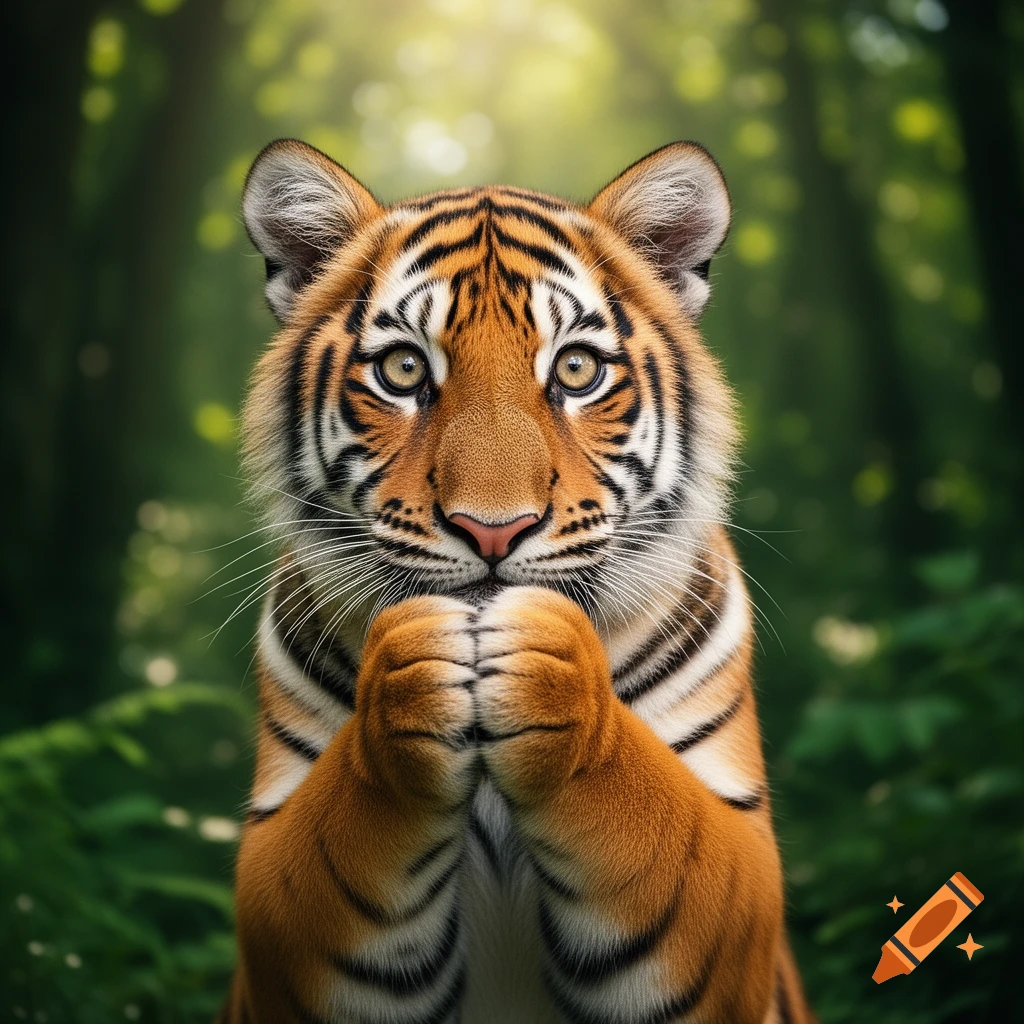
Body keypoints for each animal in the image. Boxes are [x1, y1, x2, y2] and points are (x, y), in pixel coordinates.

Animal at [219, 137, 815, 1024]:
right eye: (404, 370)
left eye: (577, 369)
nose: (492, 529)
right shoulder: (271, 883)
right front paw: (413, 665)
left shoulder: (743, 869)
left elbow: (660, 823)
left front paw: (547, 664)